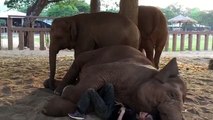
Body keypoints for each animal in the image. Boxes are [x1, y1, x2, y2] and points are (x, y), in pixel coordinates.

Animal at [42, 45, 186, 119]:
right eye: (172, 94)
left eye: (184, 101)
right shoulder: (117, 68)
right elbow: (92, 77)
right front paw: (58, 98)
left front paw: (50, 107)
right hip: (90, 55)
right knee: (77, 64)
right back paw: (58, 90)